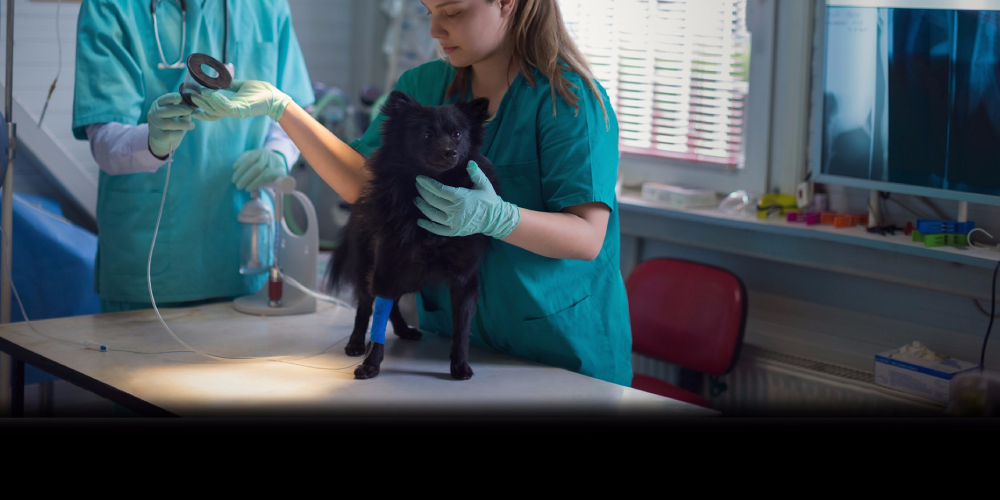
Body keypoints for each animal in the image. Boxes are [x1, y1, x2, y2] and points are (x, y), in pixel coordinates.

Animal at [328, 91, 500, 378]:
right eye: (427, 134)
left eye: (457, 134)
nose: (450, 152)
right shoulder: (387, 265)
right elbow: (377, 319)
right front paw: (371, 363)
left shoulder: (464, 279)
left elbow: (461, 328)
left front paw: (459, 364)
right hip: (373, 267)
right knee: (365, 305)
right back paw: (355, 342)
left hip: (409, 276)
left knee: (393, 303)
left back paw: (403, 329)